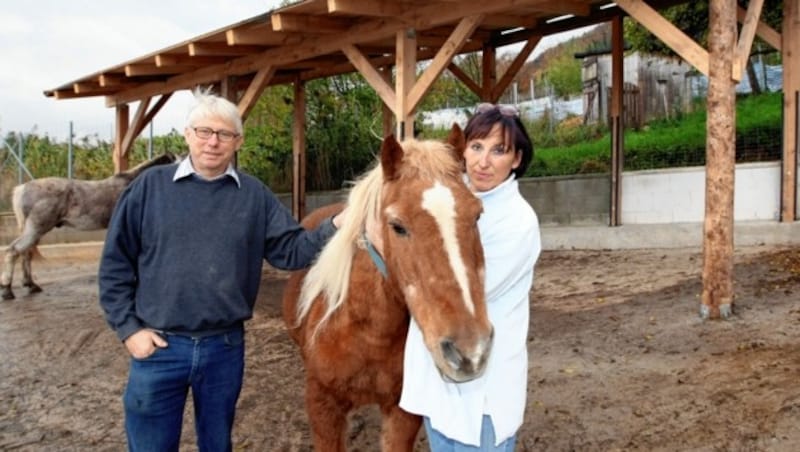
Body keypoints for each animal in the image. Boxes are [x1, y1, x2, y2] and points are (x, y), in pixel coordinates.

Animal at [0, 154, 178, 302]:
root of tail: (22, 189)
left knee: (26, 253)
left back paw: (31, 285)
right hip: (35, 229)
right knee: (13, 251)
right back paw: (7, 290)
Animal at [282, 125, 494, 450]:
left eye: (477, 215)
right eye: (397, 226)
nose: (471, 351)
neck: (369, 333)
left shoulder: (402, 411)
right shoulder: (322, 408)